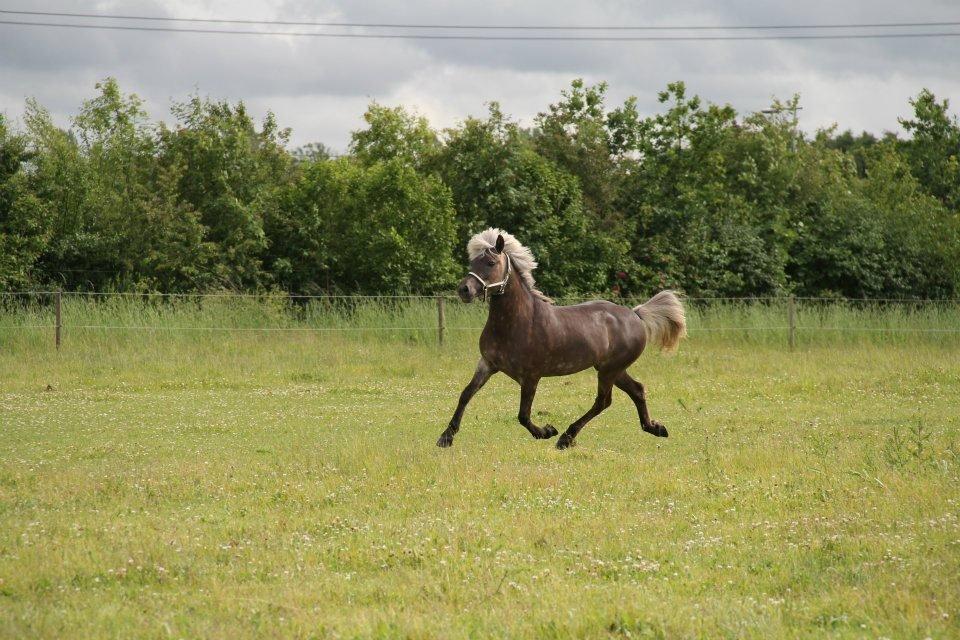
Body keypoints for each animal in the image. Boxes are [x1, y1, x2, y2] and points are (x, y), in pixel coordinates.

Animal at [438, 230, 688, 450]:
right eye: (472, 263)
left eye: (490, 263)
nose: (464, 290)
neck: (515, 323)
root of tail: (635, 314)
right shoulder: (488, 364)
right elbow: (466, 394)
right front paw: (446, 437)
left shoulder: (531, 376)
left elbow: (523, 415)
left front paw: (546, 431)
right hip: (613, 369)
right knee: (636, 390)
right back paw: (655, 427)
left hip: (609, 370)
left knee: (603, 401)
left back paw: (566, 438)